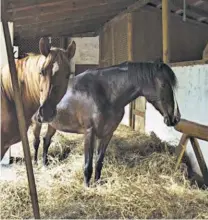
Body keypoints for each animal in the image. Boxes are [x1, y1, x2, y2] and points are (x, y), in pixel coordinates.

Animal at [32, 61, 180, 186]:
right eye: (163, 85)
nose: (175, 118)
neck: (105, 93)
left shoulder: (107, 133)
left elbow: (99, 161)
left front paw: (97, 183)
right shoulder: (89, 132)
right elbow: (88, 164)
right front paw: (87, 186)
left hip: (52, 124)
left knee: (46, 140)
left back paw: (45, 164)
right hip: (36, 122)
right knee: (36, 142)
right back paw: (35, 163)